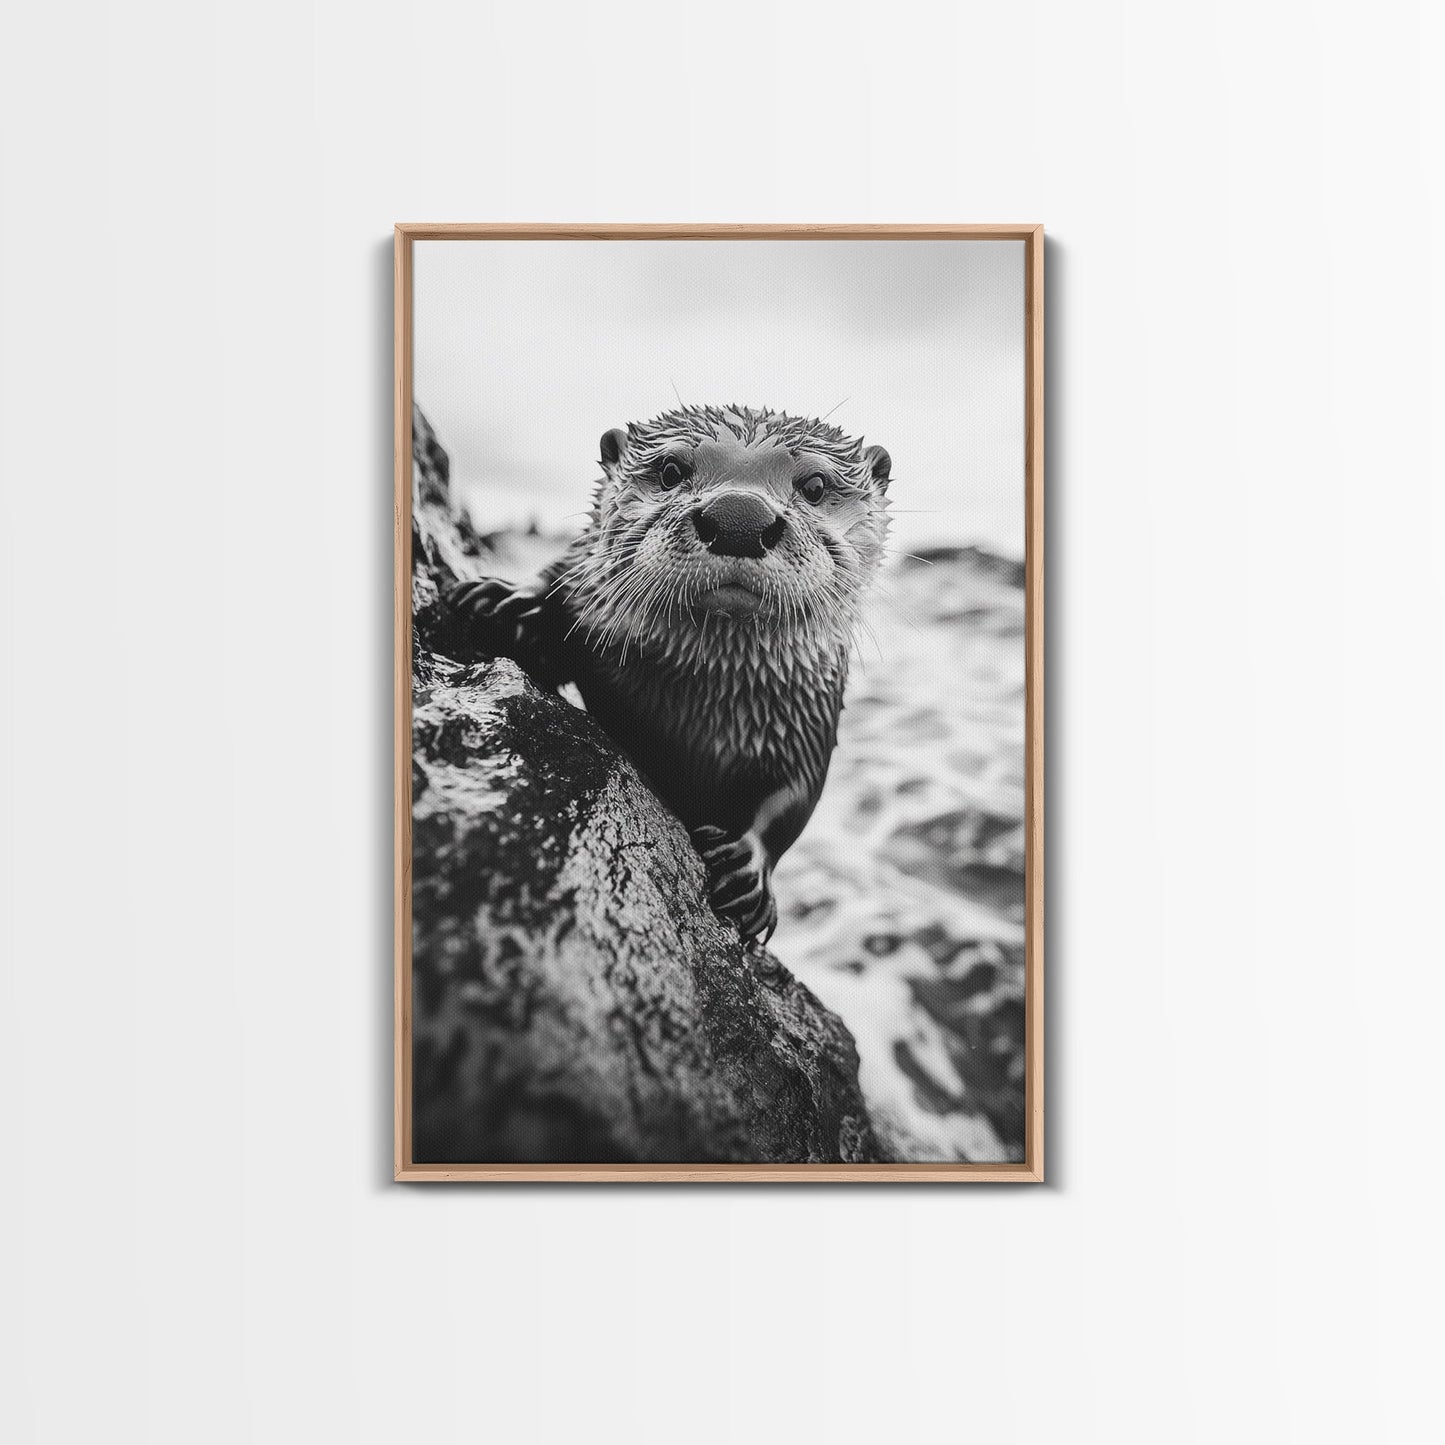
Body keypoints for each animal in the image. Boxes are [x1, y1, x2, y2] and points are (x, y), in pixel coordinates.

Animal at [445, 404, 892, 943]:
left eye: (815, 485)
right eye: (671, 470)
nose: (739, 517)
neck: (697, 705)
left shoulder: (809, 715)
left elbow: (793, 798)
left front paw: (747, 870)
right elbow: (559, 578)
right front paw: (508, 601)